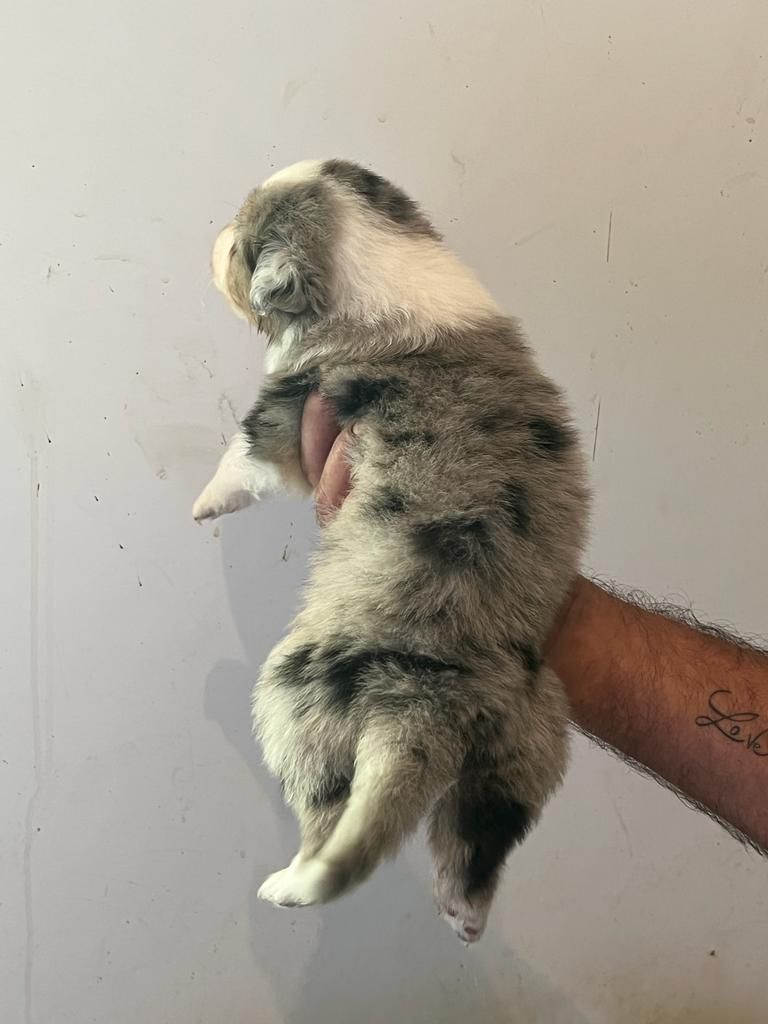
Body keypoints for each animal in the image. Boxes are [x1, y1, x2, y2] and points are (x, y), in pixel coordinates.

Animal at [194, 159, 589, 942]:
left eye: (241, 250)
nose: (213, 233)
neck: (373, 261)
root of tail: (425, 720)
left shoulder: (291, 408)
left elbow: (242, 458)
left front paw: (203, 504)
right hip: (520, 751)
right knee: (478, 839)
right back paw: (463, 913)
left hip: (297, 699)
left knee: (329, 823)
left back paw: (291, 885)